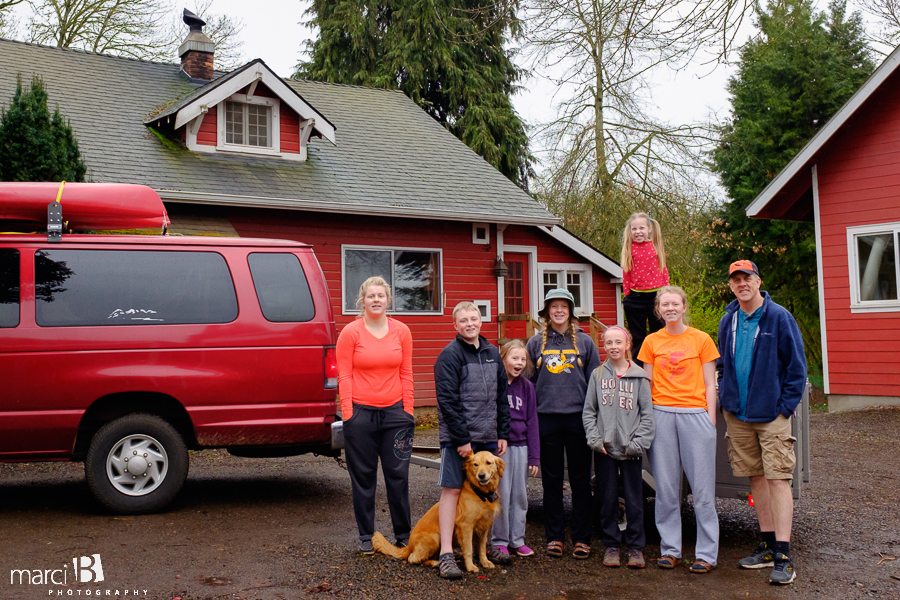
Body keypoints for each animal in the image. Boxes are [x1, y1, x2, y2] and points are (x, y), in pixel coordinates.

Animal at [370, 452, 502, 576]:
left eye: (488, 463)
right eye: (475, 465)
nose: (481, 475)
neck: (480, 493)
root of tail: (409, 546)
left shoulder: (484, 526)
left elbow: (482, 547)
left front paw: (485, 562)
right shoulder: (466, 526)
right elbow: (468, 548)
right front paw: (470, 566)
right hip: (435, 537)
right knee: (413, 558)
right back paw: (436, 562)